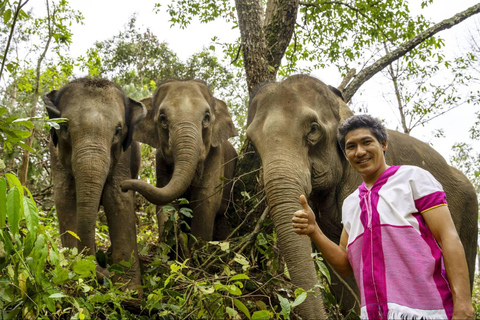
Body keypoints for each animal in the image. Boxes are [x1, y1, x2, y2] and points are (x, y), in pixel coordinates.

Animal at [44, 77, 146, 292]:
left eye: (118, 131)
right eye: (65, 128)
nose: (104, 269)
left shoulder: (123, 158)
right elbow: (65, 199)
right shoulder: (55, 154)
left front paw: (130, 294)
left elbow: (118, 199)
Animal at [121, 80, 237, 242]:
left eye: (207, 117)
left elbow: (206, 200)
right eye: (163, 118)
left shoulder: (216, 156)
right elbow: (165, 200)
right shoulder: (160, 159)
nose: (122, 186)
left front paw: (197, 248)